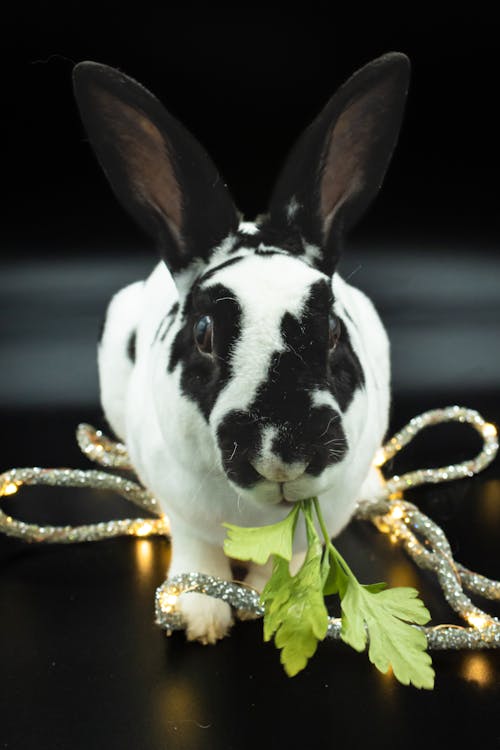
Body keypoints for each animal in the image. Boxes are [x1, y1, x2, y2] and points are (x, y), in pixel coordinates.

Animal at [73, 50, 410, 644]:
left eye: (332, 331)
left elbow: (292, 556)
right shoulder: (181, 505)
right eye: (204, 332)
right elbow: (197, 549)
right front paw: (199, 614)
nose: (283, 448)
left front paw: (277, 602)